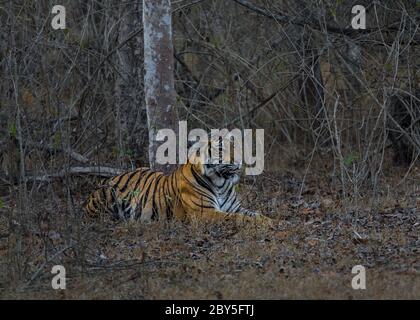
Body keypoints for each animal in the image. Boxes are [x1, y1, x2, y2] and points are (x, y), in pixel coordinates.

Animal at [83, 135, 274, 228]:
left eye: (237, 147)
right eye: (221, 150)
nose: (240, 161)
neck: (221, 182)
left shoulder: (235, 207)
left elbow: (255, 214)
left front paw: (271, 221)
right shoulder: (204, 213)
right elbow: (238, 218)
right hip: (105, 201)